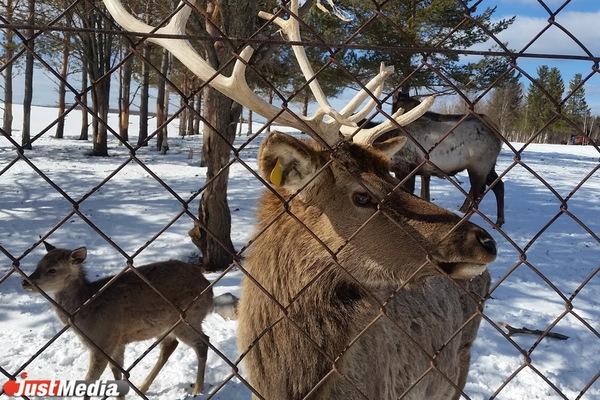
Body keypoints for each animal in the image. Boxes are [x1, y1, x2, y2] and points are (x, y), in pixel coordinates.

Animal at [22, 241, 214, 396]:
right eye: (38, 265)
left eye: (52, 269)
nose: (25, 282)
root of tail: (209, 289)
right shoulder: (117, 343)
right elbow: (118, 374)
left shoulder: (103, 341)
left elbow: (90, 380)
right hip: (168, 325)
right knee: (170, 345)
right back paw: (143, 387)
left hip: (188, 318)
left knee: (203, 342)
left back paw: (197, 390)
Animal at [364, 92, 504, 227]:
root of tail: (498, 136)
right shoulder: (422, 171)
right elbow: (424, 194)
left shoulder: (405, 168)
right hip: (489, 166)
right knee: (498, 185)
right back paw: (499, 221)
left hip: (479, 166)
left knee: (478, 193)